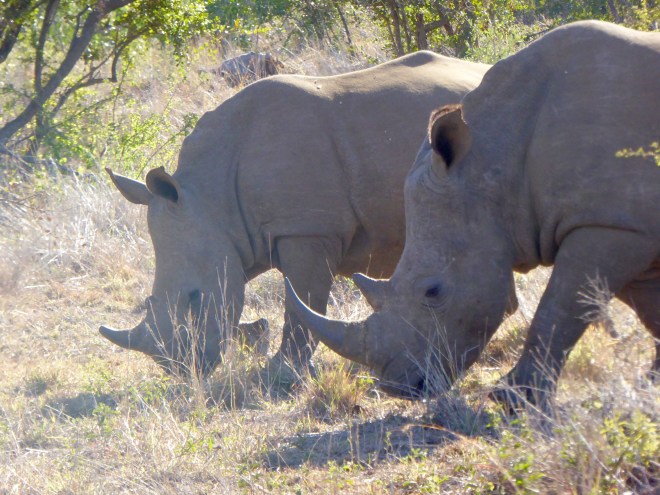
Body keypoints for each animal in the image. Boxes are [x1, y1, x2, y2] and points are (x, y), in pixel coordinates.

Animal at [100, 51, 490, 377]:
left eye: (194, 298)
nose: (181, 369)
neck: (213, 199)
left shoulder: (308, 229)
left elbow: (301, 301)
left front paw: (282, 375)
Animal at [288, 21, 660, 406]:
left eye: (433, 292)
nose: (399, 388)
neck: (496, 162)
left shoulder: (609, 225)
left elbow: (559, 305)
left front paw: (512, 400)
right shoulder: (628, 224)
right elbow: (649, 309)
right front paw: (650, 384)